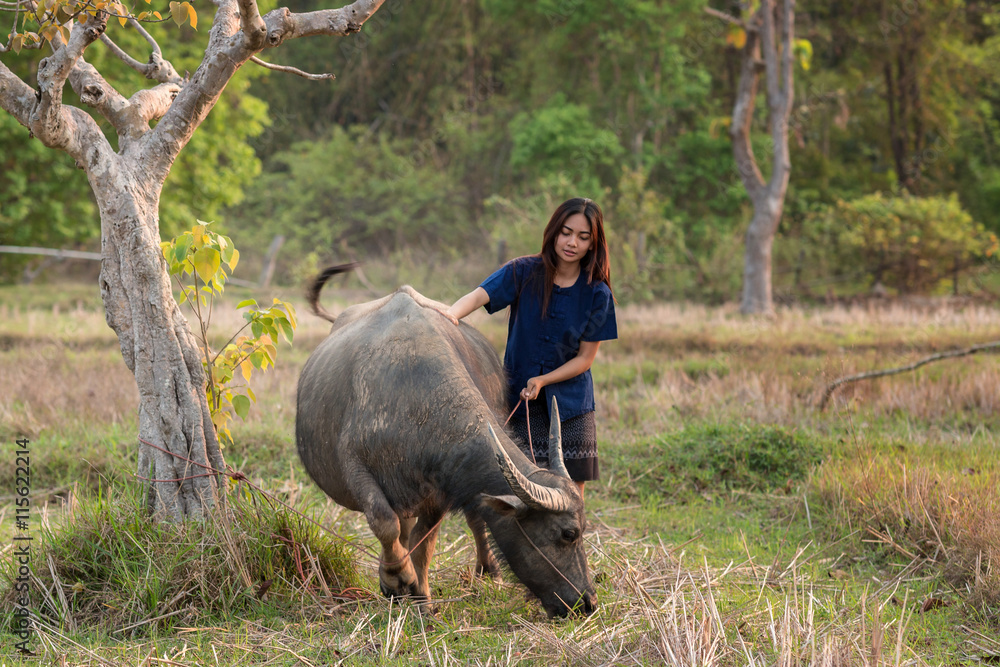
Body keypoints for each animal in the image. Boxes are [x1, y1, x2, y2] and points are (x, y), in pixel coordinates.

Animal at [296, 264, 592, 616]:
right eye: (568, 534)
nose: (587, 601)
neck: (416, 400)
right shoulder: (356, 468)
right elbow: (385, 523)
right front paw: (397, 578)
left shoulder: (440, 490)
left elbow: (424, 542)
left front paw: (421, 598)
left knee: (473, 518)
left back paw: (488, 569)